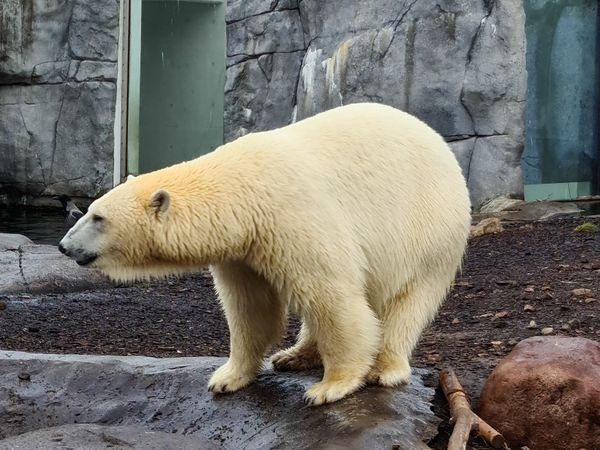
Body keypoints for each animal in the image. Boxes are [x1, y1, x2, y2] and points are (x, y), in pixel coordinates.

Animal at [58, 102, 472, 404]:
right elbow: (251, 308)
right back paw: (294, 354)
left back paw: (384, 367)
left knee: (406, 302)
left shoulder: (293, 215)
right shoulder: (243, 249)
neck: (241, 188)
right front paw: (226, 377)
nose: (64, 245)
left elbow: (332, 295)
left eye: (98, 217)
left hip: (429, 230)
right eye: (90, 209)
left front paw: (330, 386)